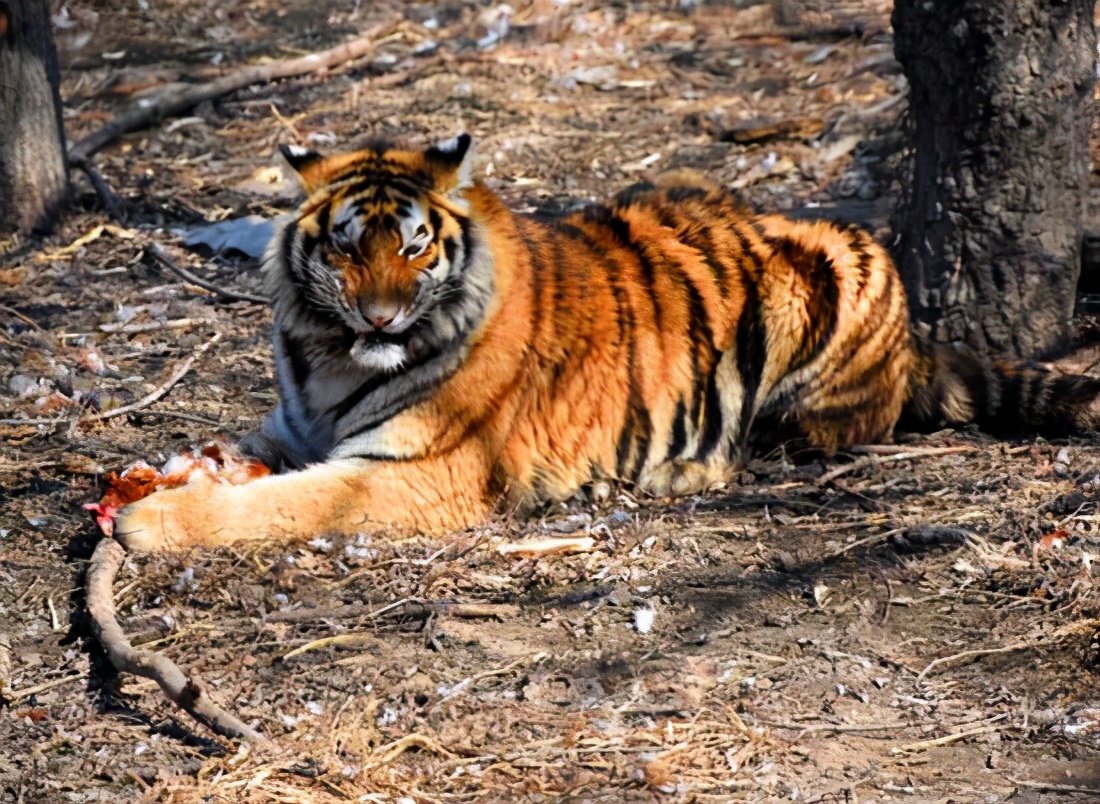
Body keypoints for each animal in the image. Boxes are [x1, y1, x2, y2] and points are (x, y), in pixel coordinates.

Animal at [116, 136, 1100, 554]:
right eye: (349, 247)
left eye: (416, 248)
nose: (383, 319)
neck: (330, 358)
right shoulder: (294, 424)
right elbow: (236, 456)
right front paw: (158, 475)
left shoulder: (414, 471)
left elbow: (285, 504)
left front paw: (148, 522)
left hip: (833, 280)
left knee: (792, 437)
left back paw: (677, 473)